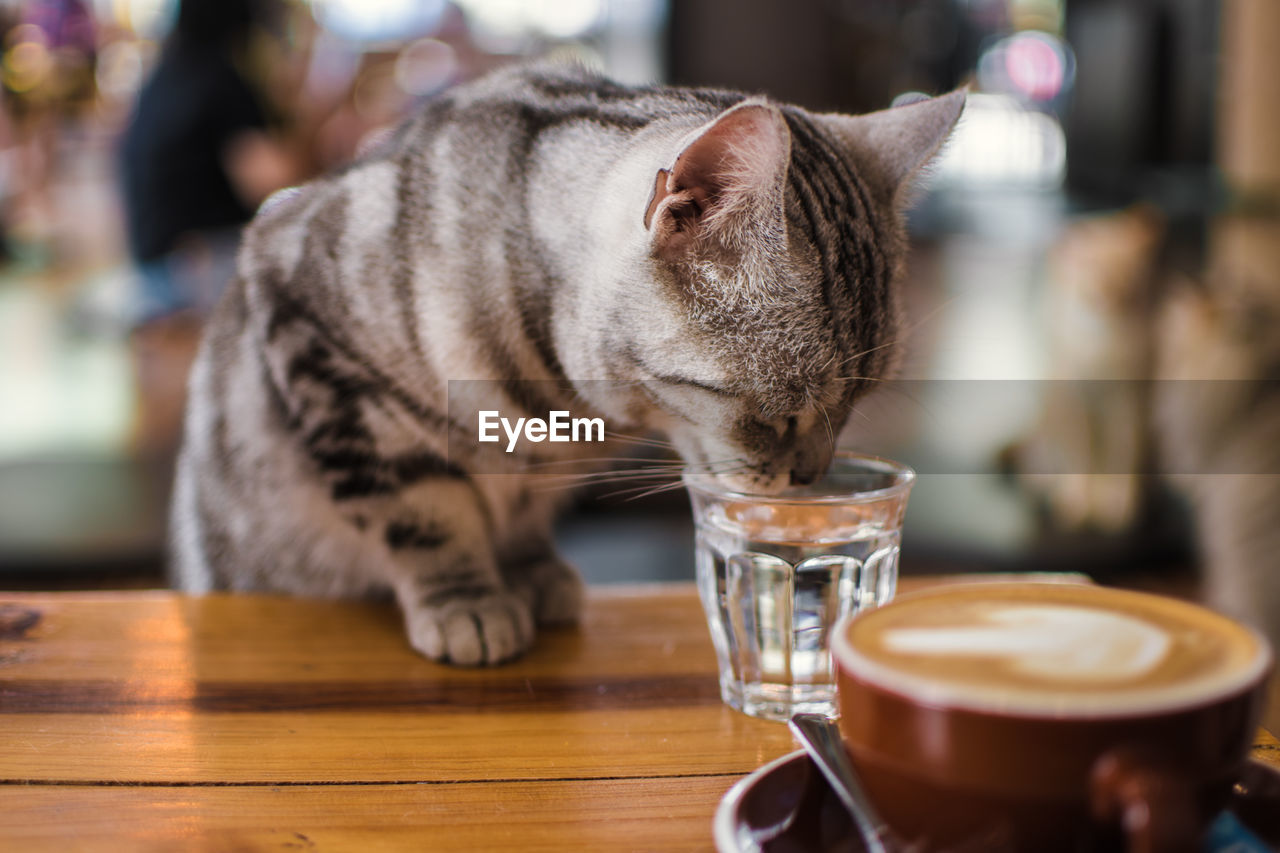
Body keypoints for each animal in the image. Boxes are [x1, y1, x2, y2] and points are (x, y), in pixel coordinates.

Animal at [170, 64, 962, 666]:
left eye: (853, 408)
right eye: (778, 413)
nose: (811, 477)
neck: (555, 402)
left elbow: (520, 516)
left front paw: (531, 570)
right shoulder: (323, 349)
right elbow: (423, 509)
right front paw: (467, 599)